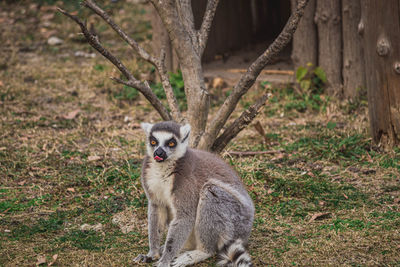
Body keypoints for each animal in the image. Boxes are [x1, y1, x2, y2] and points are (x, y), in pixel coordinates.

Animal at [134, 122, 253, 267]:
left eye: (171, 143)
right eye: (153, 141)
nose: (158, 153)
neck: (163, 168)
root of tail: (246, 231)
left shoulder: (186, 180)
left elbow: (185, 216)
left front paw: (165, 260)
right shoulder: (150, 178)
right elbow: (157, 207)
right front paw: (152, 254)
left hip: (237, 219)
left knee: (210, 192)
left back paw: (200, 252)